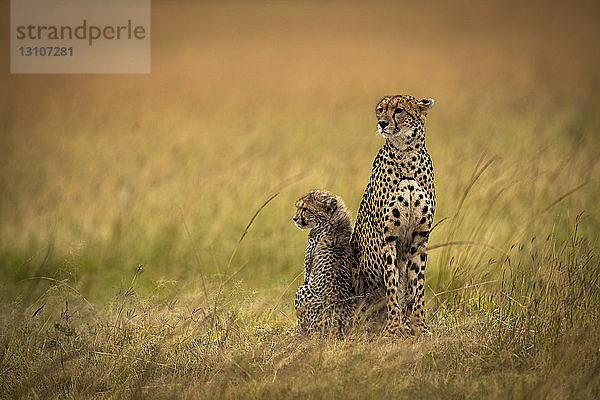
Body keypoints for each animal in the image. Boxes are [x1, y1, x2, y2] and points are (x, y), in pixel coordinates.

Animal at [294, 190, 356, 334]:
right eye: (298, 207)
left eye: (304, 209)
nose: (294, 218)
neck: (332, 222)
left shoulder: (307, 274)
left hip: (302, 291)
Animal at [352, 94, 436, 334]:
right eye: (380, 109)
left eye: (399, 110)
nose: (382, 123)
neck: (405, 154)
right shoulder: (388, 238)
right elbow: (392, 284)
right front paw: (393, 328)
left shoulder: (420, 238)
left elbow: (417, 286)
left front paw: (419, 325)